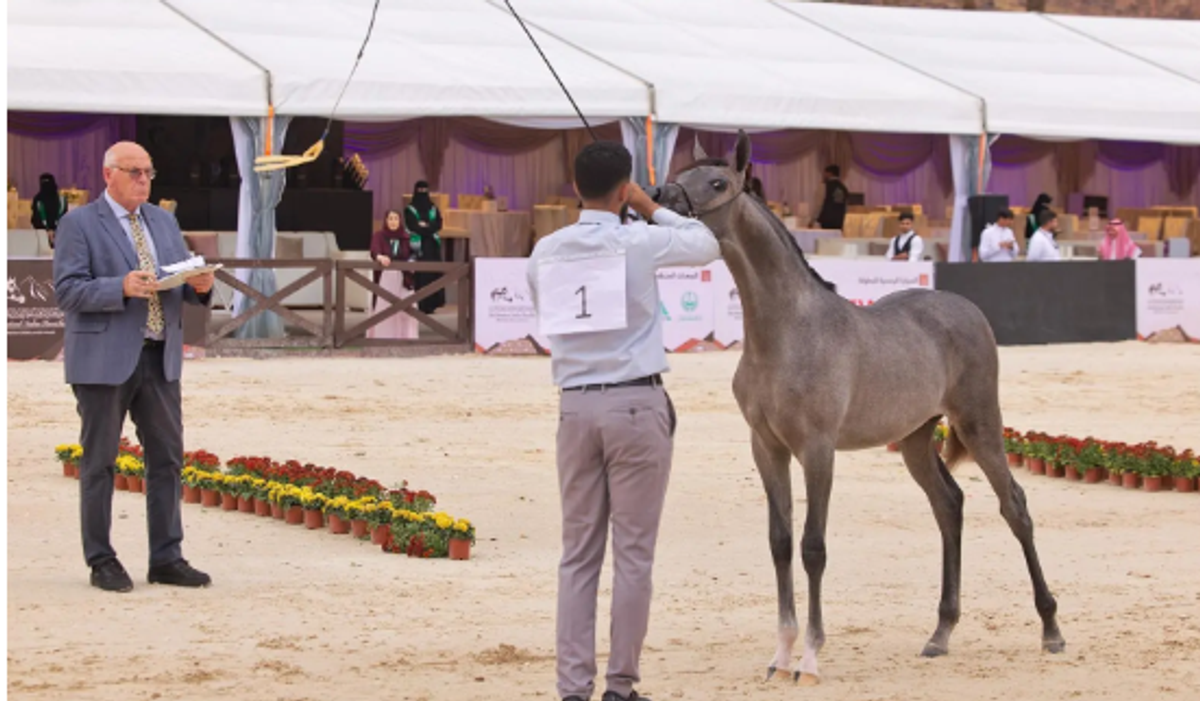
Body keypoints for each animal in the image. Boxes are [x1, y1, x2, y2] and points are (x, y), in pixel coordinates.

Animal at [651, 131, 1064, 685]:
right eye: (683, 173)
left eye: (717, 183)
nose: (656, 198)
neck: (786, 333)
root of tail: (966, 309)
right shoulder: (767, 448)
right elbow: (780, 542)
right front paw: (780, 657)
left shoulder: (817, 449)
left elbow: (813, 547)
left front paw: (809, 659)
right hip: (915, 439)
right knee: (948, 505)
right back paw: (940, 633)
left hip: (980, 425)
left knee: (1014, 506)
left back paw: (1051, 630)